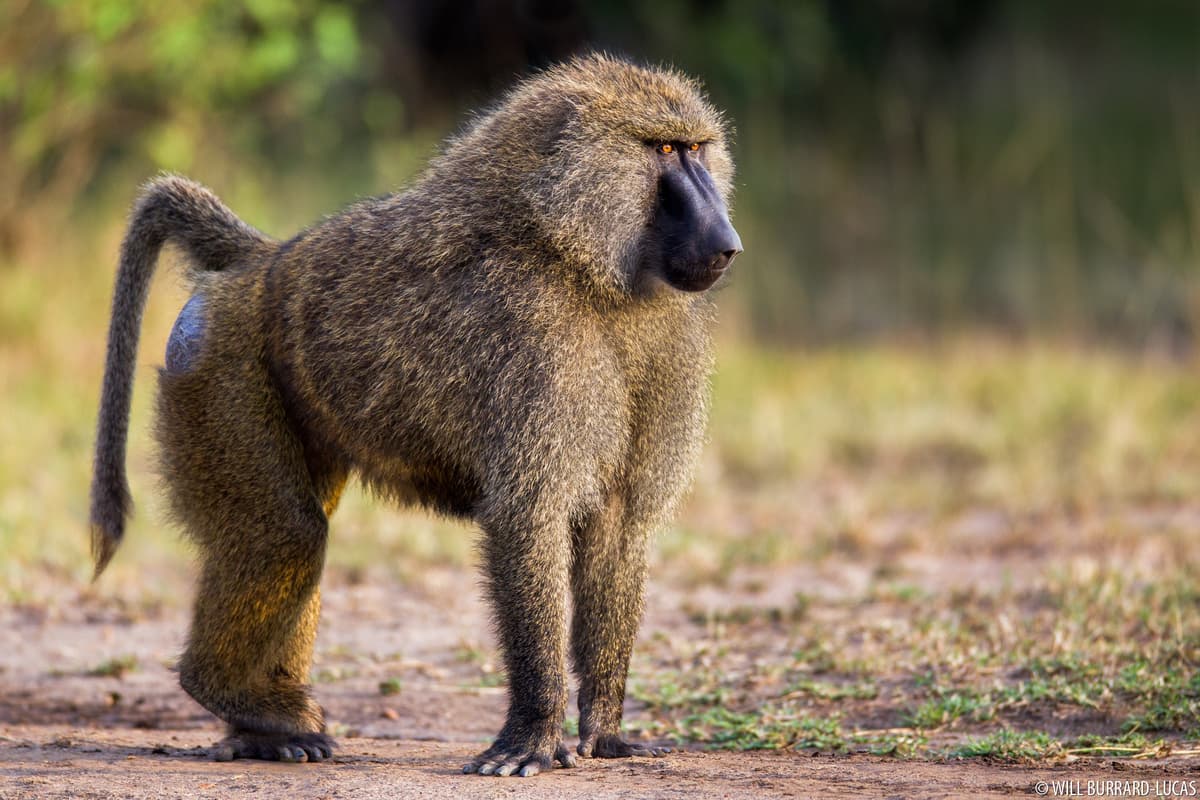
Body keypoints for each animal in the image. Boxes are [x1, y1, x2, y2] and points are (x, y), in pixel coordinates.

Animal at [89, 54, 741, 777]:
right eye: (663, 151)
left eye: (697, 150)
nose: (727, 241)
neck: (577, 261)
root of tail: (263, 262)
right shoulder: (532, 335)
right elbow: (527, 519)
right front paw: (532, 734)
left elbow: (619, 527)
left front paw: (605, 730)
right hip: (221, 362)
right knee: (285, 535)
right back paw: (233, 693)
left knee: (290, 534)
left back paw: (259, 730)